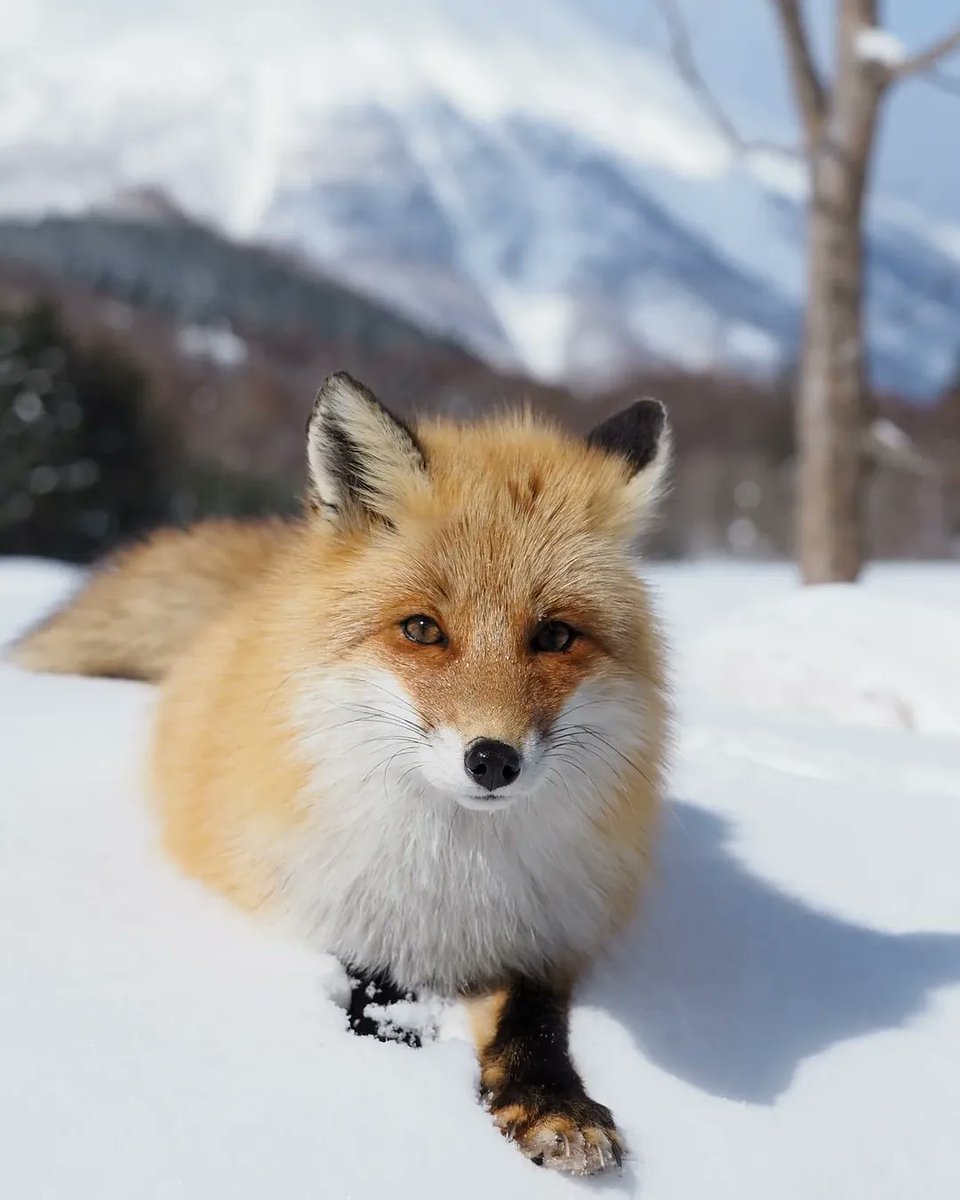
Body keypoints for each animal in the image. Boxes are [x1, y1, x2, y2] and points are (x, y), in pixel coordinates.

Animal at [11, 372, 670, 1177]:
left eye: (554, 635)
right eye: (421, 629)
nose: (492, 759)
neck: (454, 881)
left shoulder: (551, 933)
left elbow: (533, 1024)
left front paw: (553, 1106)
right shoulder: (332, 902)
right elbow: (376, 992)